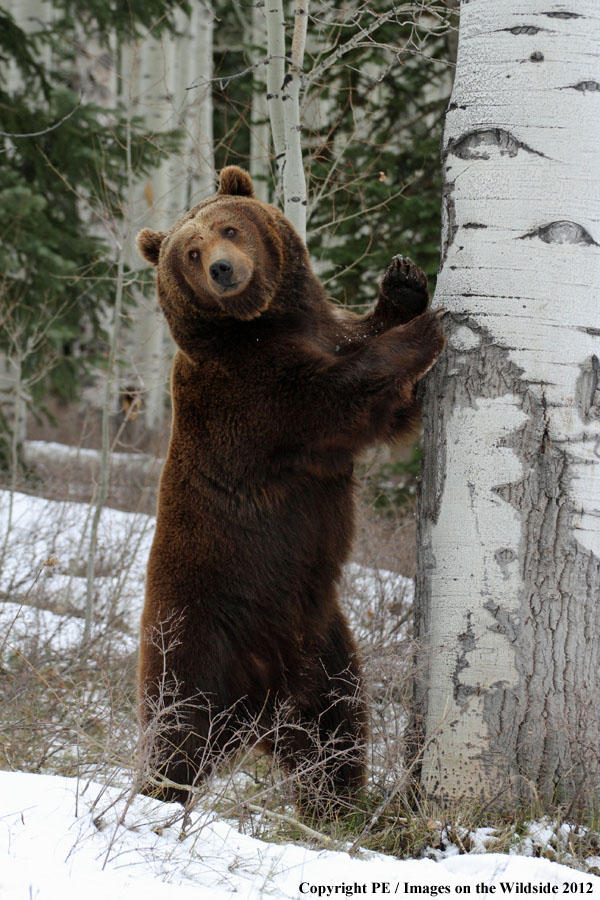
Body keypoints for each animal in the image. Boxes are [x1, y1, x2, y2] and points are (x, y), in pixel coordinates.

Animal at [136, 165, 446, 812]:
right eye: (190, 252)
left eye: (230, 227)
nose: (222, 269)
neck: (261, 324)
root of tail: (259, 711)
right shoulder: (251, 399)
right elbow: (340, 397)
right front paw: (425, 328)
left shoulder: (318, 329)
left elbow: (363, 351)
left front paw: (404, 283)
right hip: (194, 639)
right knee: (177, 731)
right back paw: (154, 798)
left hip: (323, 651)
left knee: (337, 731)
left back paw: (340, 806)